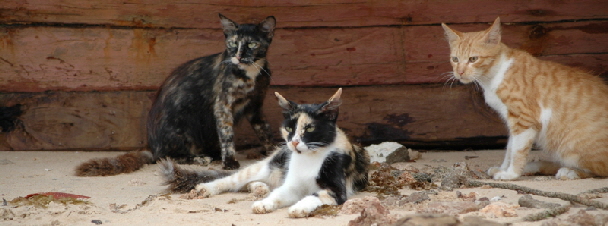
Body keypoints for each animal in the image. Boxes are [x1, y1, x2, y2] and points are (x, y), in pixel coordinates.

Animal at [72, 14, 276, 177]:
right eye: (233, 43)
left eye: (252, 44)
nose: (239, 57)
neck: (250, 73)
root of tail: (151, 147)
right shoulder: (223, 105)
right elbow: (227, 134)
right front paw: (230, 162)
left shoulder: (255, 106)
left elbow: (264, 130)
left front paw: (274, 151)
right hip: (183, 126)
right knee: (165, 157)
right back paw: (201, 158)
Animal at [159, 89, 368, 218]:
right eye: (289, 128)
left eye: (309, 129)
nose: (293, 142)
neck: (309, 158)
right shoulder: (291, 185)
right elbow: (279, 194)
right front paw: (265, 204)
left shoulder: (337, 190)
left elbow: (313, 195)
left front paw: (298, 208)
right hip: (266, 166)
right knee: (233, 179)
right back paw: (209, 188)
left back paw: (259, 188)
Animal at [442, 17, 608, 180]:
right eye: (455, 59)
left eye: (473, 59)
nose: (459, 72)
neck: (496, 74)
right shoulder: (512, 121)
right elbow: (510, 148)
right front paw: (503, 168)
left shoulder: (524, 120)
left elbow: (517, 152)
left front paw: (511, 174)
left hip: (571, 145)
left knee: (599, 170)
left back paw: (569, 171)